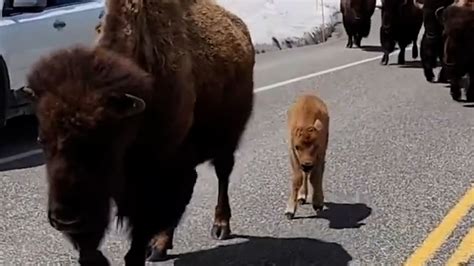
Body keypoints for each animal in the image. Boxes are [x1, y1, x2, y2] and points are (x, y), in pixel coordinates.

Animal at [21, 0, 254, 264]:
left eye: (102, 143)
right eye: (41, 140)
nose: (65, 218)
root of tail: (240, 27)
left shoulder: (152, 179)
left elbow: (140, 236)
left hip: (226, 141)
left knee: (222, 176)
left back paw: (219, 226)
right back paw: (161, 246)